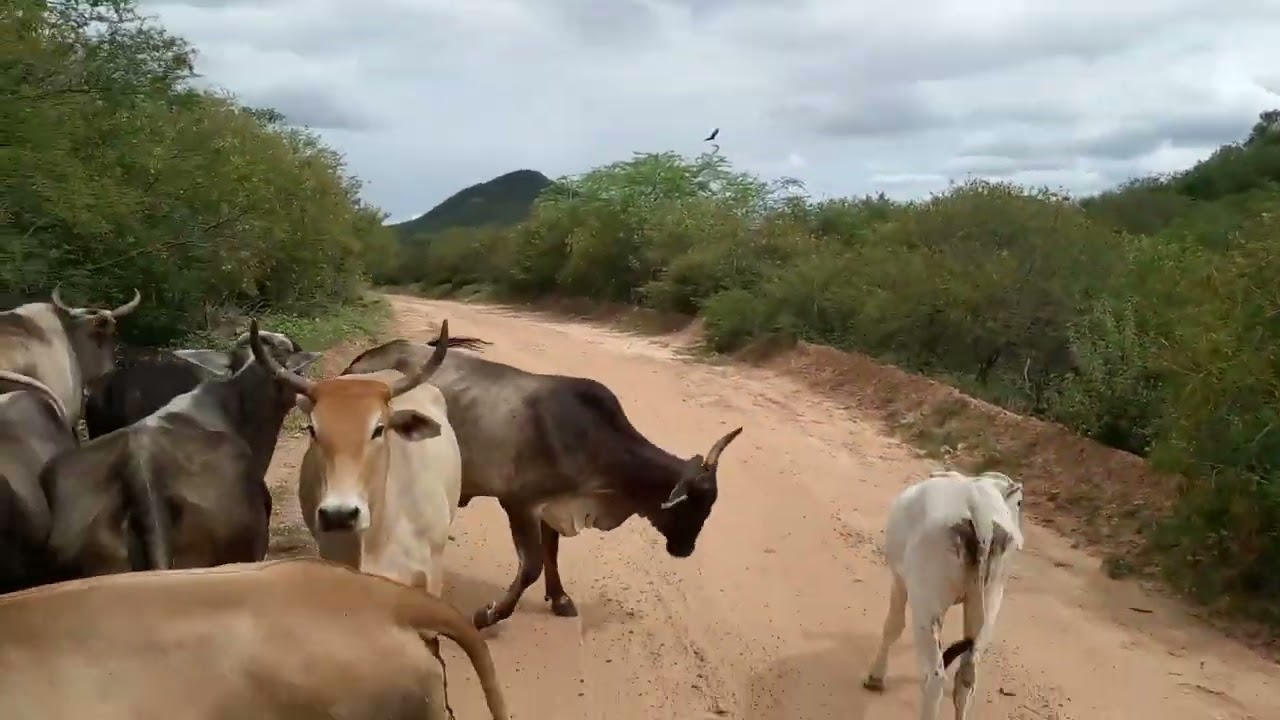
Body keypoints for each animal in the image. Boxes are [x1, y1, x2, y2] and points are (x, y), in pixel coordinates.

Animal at [343, 330, 745, 629]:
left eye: (709, 506)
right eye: (691, 506)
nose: (685, 549)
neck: (595, 443)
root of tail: (360, 362)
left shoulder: (553, 507)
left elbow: (551, 554)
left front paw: (560, 599)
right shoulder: (519, 503)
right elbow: (533, 565)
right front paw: (490, 614)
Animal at [863, 469, 1025, 720]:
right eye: (1019, 503)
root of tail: (981, 517)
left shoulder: (900, 581)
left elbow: (892, 626)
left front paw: (876, 677)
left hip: (926, 604)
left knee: (934, 678)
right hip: (990, 601)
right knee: (966, 677)